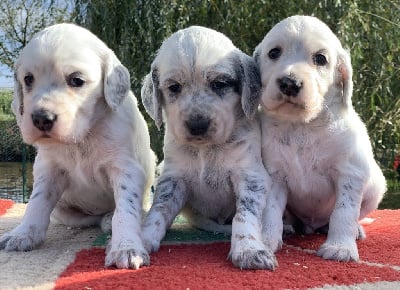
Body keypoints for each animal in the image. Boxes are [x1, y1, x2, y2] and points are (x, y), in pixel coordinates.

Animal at [0, 23, 156, 270]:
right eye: (28, 79)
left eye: (76, 80)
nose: (41, 119)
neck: (81, 137)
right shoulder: (48, 168)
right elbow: (37, 202)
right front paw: (23, 234)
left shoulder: (125, 168)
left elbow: (125, 210)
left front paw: (127, 248)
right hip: (63, 211)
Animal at [141, 26, 278, 270]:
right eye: (174, 87)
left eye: (219, 84)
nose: (197, 125)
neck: (206, 149)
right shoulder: (173, 179)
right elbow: (158, 210)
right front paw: (141, 240)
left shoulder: (251, 177)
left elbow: (244, 215)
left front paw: (248, 249)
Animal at [253, 14, 388, 262]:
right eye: (274, 53)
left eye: (320, 59)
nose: (289, 83)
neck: (302, 126)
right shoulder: (274, 175)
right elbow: (271, 210)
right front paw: (266, 240)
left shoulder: (350, 173)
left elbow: (344, 212)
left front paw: (340, 247)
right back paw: (289, 226)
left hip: (375, 186)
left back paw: (354, 230)